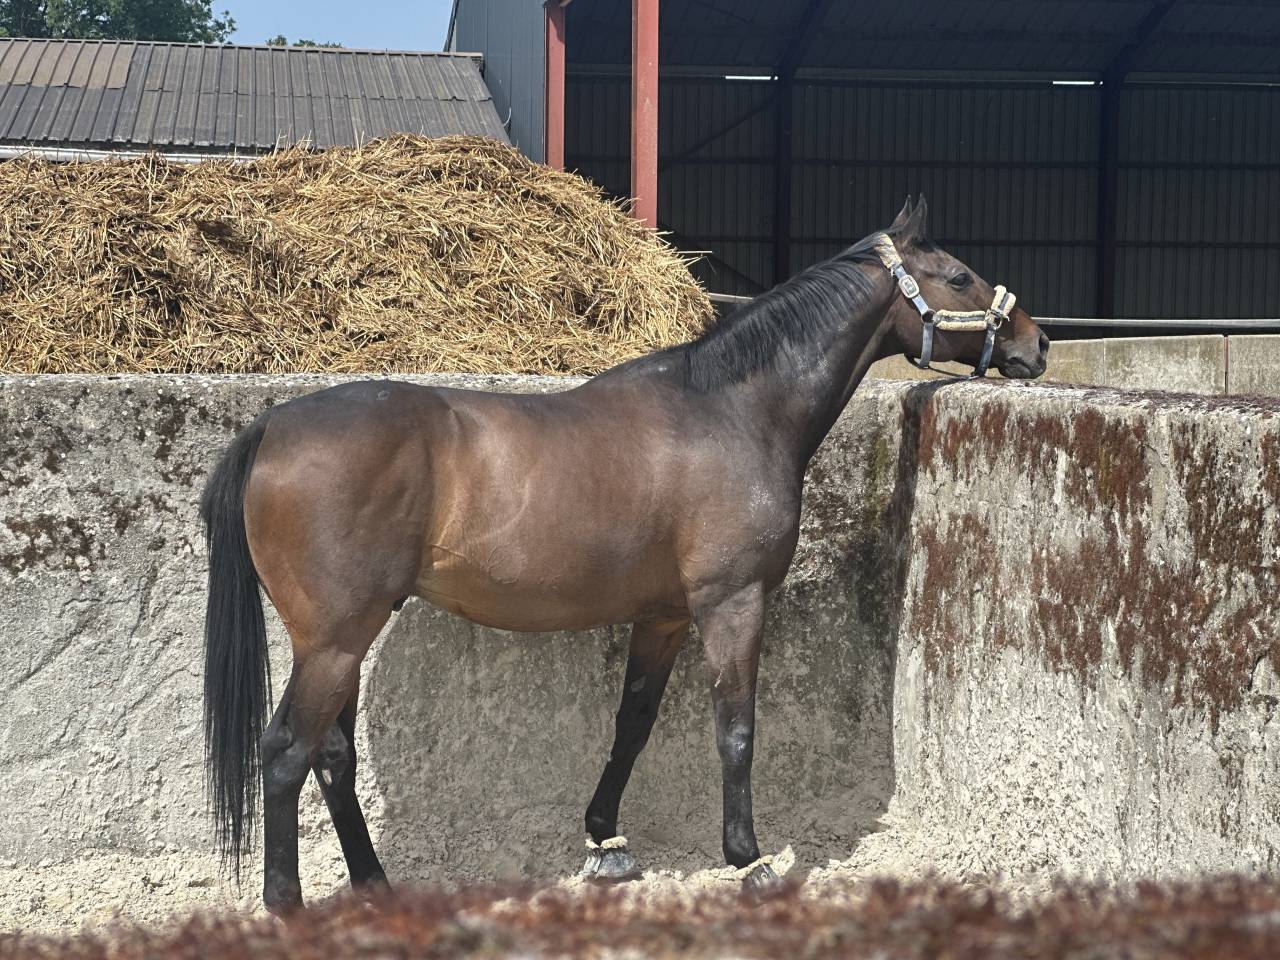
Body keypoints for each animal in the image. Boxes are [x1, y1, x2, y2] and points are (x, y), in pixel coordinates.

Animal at [201, 196, 1049, 913]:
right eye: (959, 275)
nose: (1037, 343)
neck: (731, 410)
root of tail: (273, 426)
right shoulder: (732, 604)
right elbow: (736, 730)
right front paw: (749, 859)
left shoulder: (665, 618)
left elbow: (631, 725)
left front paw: (606, 841)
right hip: (336, 640)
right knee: (287, 753)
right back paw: (288, 906)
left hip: (344, 639)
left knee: (332, 756)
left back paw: (378, 886)